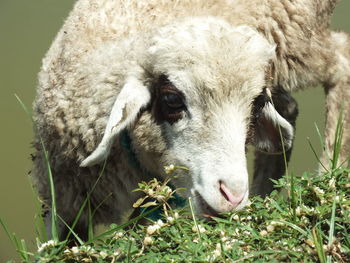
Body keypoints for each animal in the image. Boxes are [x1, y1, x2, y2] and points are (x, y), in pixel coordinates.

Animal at [32, 0, 348, 242]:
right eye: (172, 99)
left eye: (257, 103)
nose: (232, 196)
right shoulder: (65, 200)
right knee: (290, 109)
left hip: (296, 36)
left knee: (340, 60)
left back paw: (329, 172)